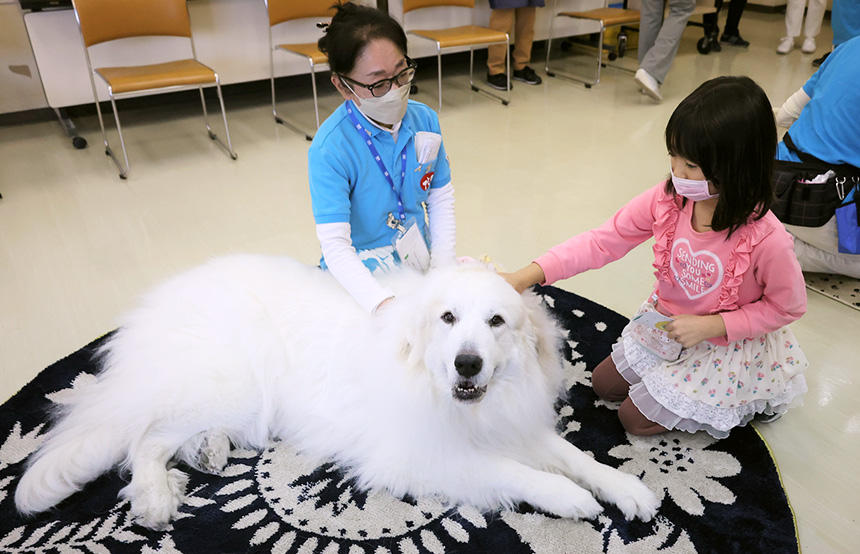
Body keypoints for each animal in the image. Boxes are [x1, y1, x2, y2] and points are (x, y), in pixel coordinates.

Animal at [15, 254, 660, 528]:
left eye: (496, 322)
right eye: (448, 318)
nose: (468, 363)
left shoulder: (510, 423)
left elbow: (575, 457)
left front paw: (627, 489)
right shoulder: (427, 455)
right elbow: (520, 475)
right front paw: (572, 500)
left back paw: (209, 450)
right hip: (225, 382)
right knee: (144, 440)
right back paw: (155, 499)